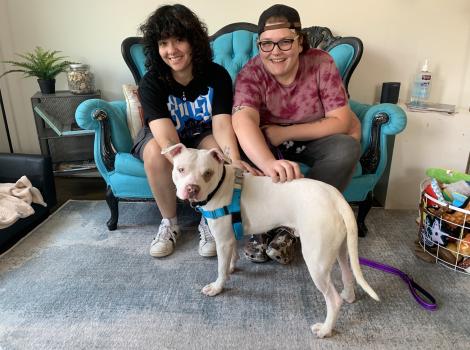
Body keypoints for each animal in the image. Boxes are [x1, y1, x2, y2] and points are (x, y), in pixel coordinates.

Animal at [162, 144, 378, 338]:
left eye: (207, 173)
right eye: (181, 169)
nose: (192, 188)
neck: (221, 185)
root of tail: (336, 198)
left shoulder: (222, 240)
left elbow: (220, 269)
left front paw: (217, 286)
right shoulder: (229, 238)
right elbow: (231, 258)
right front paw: (231, 267)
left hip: (316, 262)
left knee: (333, 300)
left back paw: (325, 329)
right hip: (340, 250)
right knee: (347, 274)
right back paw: (348, 296)